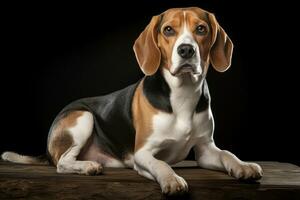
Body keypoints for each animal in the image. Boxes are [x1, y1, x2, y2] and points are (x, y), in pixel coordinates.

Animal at [1, 6, 262, 195]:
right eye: (168, 30)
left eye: (201, 29)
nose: (186, 50)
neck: (182, 94)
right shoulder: (143, 153)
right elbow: (161, 164)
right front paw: (171, 179)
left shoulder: (206, 150)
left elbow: (227, 154)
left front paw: (244, 166)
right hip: (82, 117)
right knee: (62, 163)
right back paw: (87, 166)